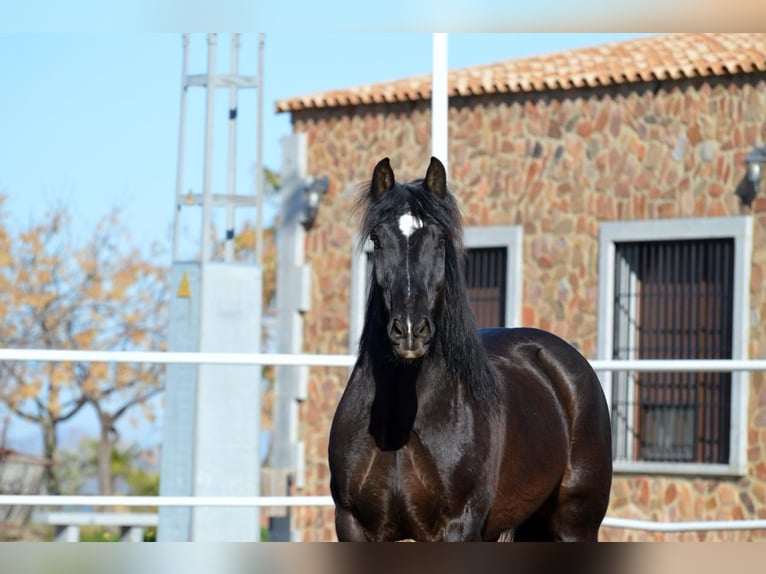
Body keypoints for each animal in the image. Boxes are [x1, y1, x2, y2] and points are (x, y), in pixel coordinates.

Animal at [328, 158, 612, 544]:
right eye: (378, 239)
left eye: (440, 239)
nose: (410, 331)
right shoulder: (353, 526)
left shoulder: (458, 528)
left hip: (575, 525)